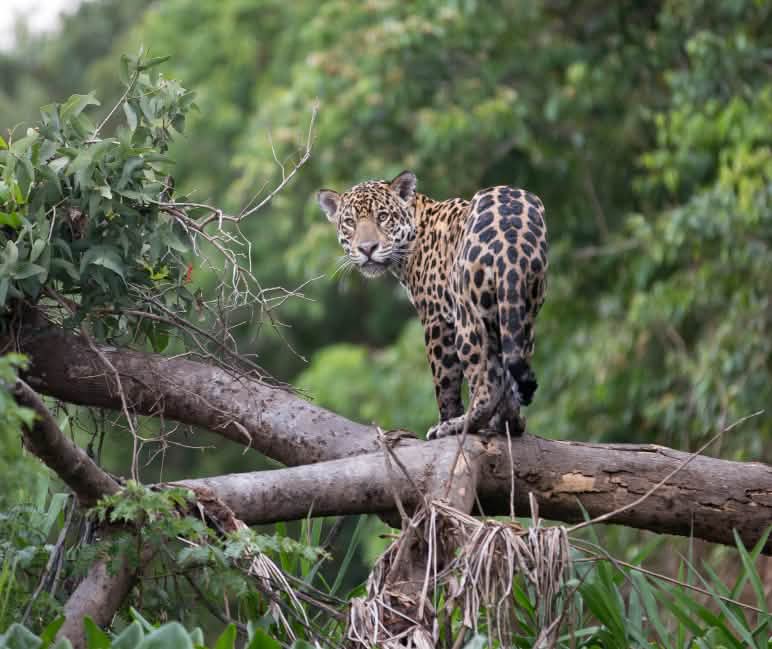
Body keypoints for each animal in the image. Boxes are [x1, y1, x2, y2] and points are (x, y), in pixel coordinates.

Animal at [317, 171, 548, 440]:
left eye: (383, 217)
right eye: (350, 222)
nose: (367, 249)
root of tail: (512, 238)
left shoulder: (436, 319)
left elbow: (444, 381)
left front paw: (445, 419)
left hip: (468, 319)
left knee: (486, 385)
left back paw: (460, 424)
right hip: (521, 312)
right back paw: (510, 422)